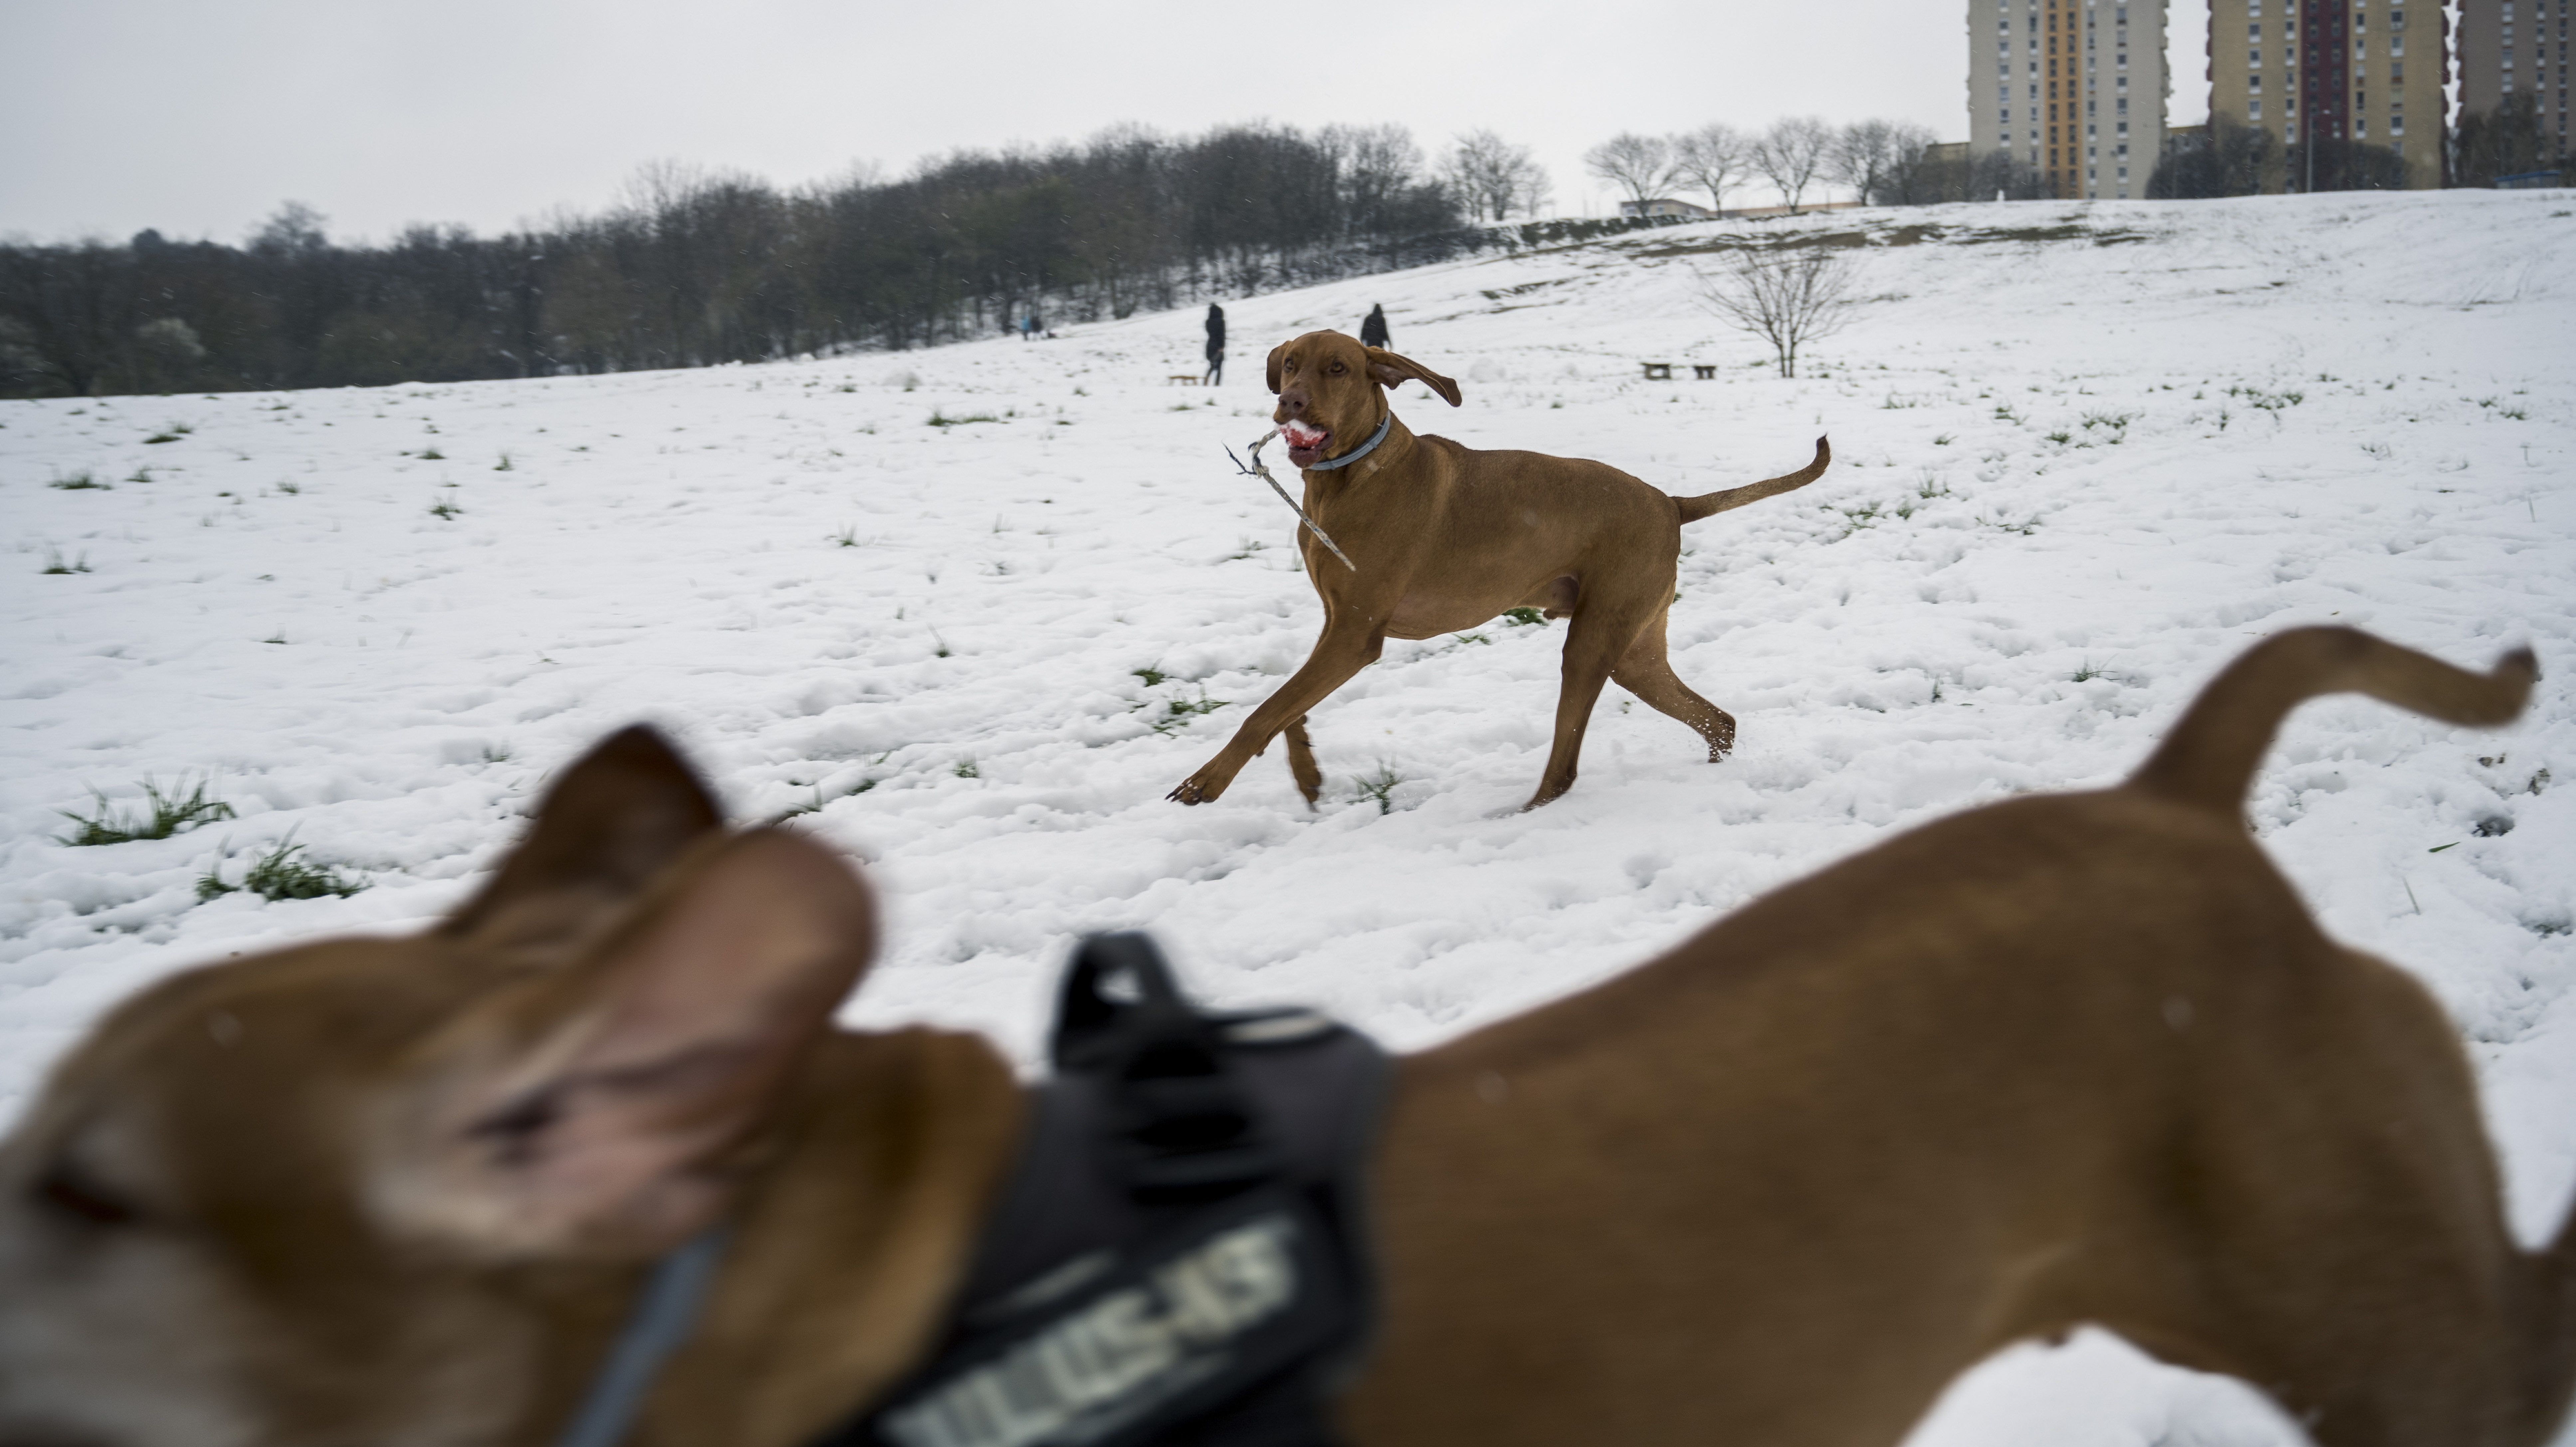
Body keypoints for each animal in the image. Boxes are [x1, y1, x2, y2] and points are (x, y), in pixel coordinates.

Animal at [1169, 327, 1834, 813]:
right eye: (1290, 365)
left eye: (1338, 368)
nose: (1291, 403)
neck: (1349, 480)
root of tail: (1671, 503)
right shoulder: (1335, 624)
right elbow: (1287, 709)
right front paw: (1307, 774)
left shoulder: (1355, 636)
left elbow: (1263, 711)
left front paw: (1206, 782)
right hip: (1636, 654)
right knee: (1717, 720)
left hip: (1593, 642)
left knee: (1566, 766)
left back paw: (1524, 813)